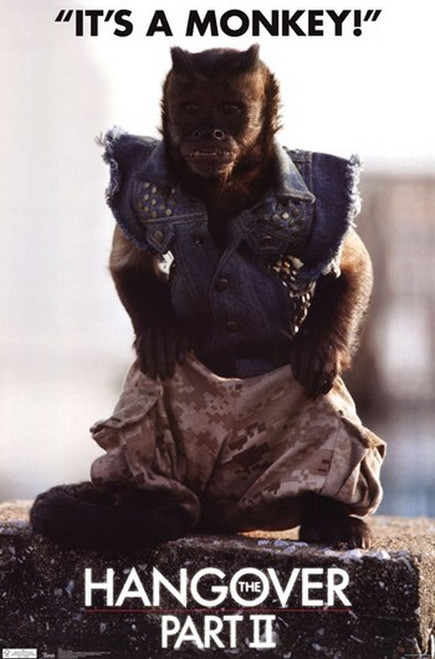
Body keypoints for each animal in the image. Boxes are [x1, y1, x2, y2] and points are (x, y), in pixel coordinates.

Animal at [30, 45, 385, 551]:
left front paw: (320, 346)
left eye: (231, 109)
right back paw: (153, 509)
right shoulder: (141, 178)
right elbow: (130, 264)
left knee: (328, 411)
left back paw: (330, 516)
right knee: (153, 385)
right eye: (192, 108)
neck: (224, 184)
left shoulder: (319, 193)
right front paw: (161, 332)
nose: (209, 131)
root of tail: (219, 514)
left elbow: (350, 265)